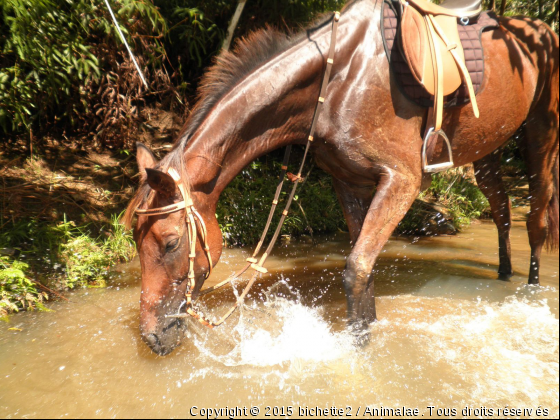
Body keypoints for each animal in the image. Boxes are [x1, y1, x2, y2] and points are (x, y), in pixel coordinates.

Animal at [123, 0, 560, 354]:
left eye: (171, 242)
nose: (152, 336)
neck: (337, 81)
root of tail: (539, 30)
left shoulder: (402, 180)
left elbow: (356, 269)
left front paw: (359, 348)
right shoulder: (349, 182)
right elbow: (363, 270)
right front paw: (364, 333)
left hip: (542, 133)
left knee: (536, 218)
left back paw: (531, 291)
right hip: (488, 148)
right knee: (501, 209)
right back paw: (503, 273)